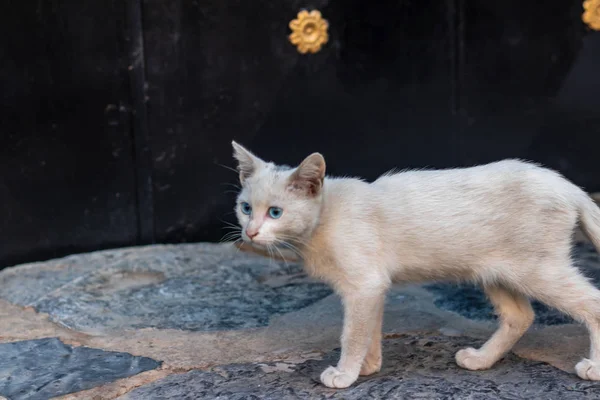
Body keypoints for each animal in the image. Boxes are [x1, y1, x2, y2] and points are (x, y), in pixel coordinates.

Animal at [231, 141, 600, 388]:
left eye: (275, 213)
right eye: (246, 208)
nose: (250, 233)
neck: (324, 218)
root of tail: (567, 185)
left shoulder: (364, 286)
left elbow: (353, 333)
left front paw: (345, 374)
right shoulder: (374, 286)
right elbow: (370, 330)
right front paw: (368, 367)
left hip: (536, 269)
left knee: (593, 303)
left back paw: (594, 369)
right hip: (495, 270)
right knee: (519, 316)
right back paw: (480, 359)